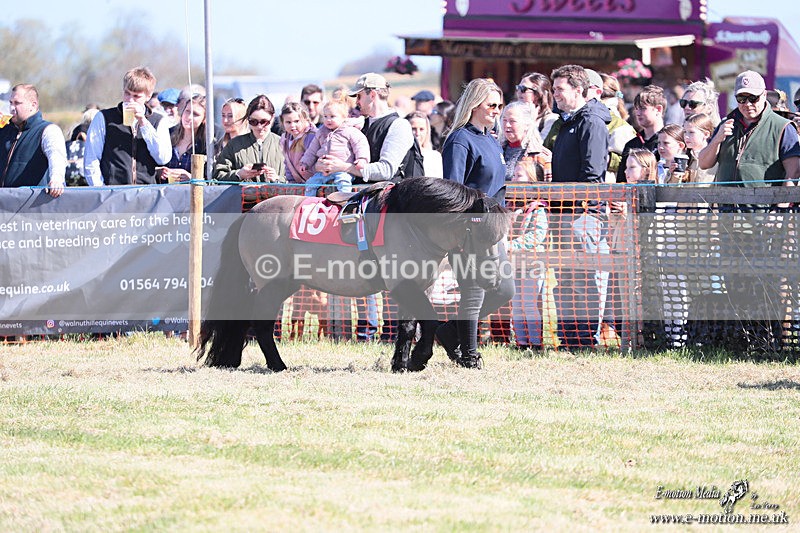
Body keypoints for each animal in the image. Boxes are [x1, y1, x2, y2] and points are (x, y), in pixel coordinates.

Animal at [196, 177, 511, 372]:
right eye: (480, 234)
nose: (493, 280)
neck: (410, 223)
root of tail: (251, 213)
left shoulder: (415, 286)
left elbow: (408, 327)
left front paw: (401, 364)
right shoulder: (403, 285)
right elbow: (430, 322)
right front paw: (419, 360)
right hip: (272, 285)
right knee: (260, 324)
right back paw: (277, 365)